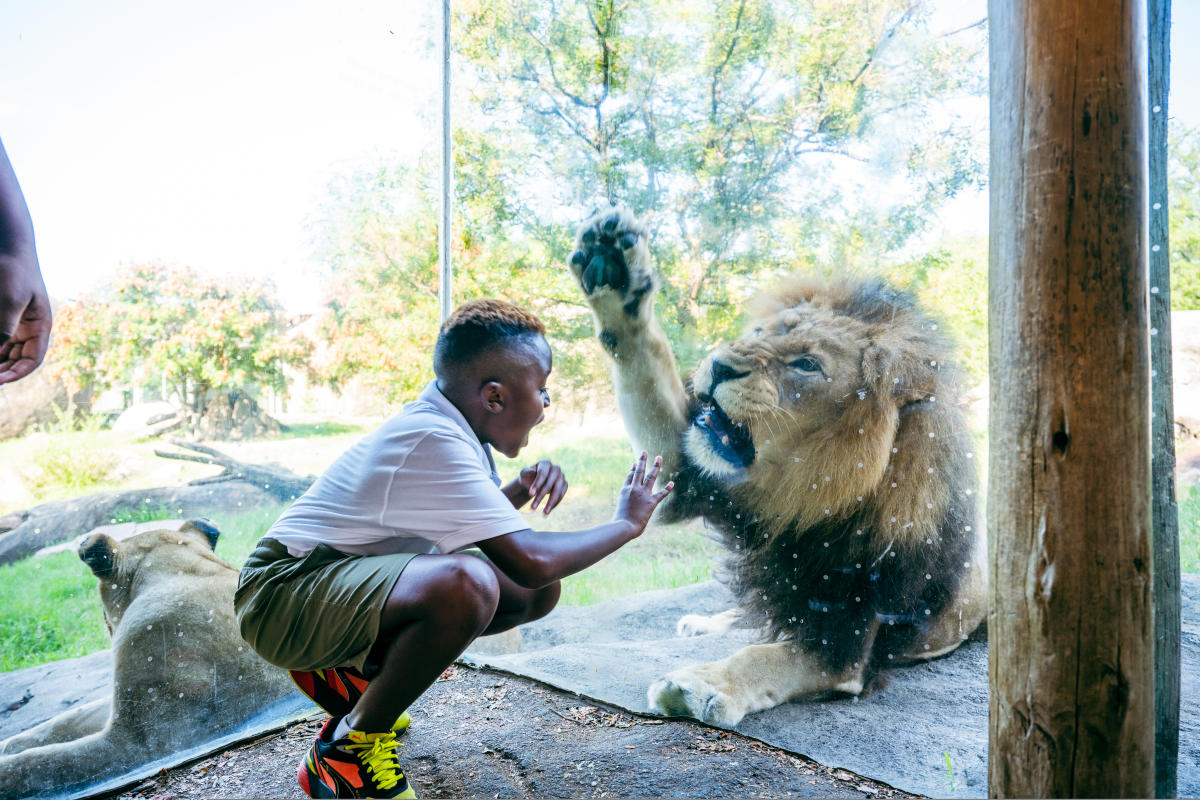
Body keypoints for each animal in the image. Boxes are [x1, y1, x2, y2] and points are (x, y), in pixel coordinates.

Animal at [567, 205, 986, 727]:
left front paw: (701, 684)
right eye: (760, 332)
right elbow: (646, 368)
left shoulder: (841, 646)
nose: (719, 365)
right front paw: (615, 273)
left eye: (807, 364)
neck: (801, 493)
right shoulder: (696, 476)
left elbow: (760, 657)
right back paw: (702, 621)